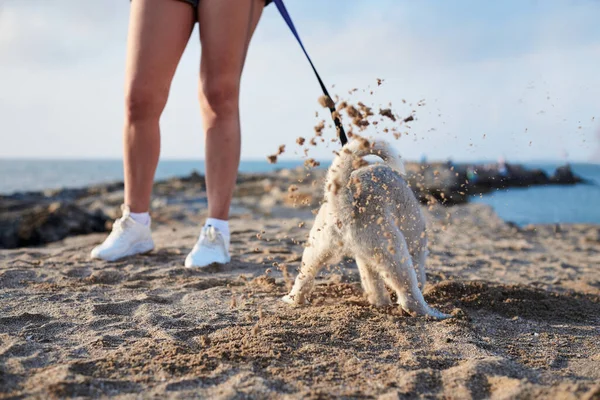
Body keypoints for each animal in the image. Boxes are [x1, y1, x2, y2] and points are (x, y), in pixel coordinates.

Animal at [284, 138, 448, 318]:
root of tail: (346, 202)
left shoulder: (364, 260)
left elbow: (373, 284)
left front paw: (380, 302)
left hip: (316, 249)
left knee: (304, 277)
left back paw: (293, 299)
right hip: (394, 252)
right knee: (409, 296)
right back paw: (431, 313)